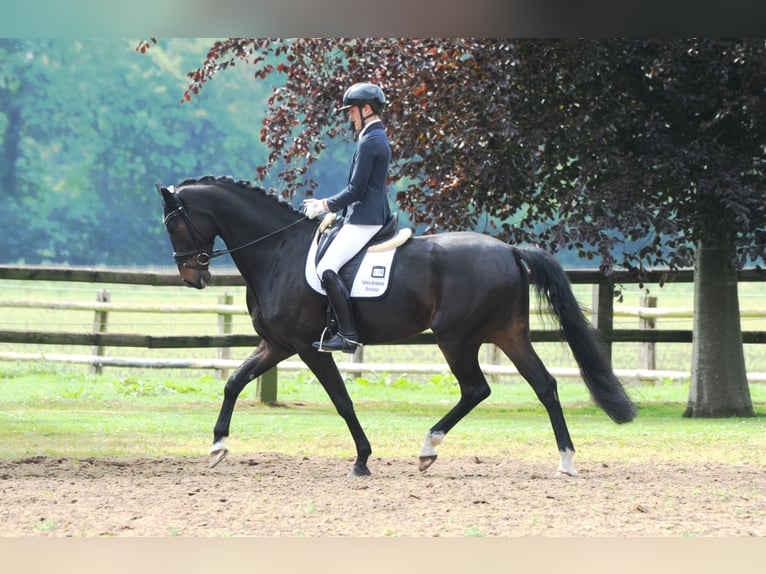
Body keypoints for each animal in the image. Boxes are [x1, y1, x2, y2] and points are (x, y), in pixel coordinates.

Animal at [156, 174, 636, 476]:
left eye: (174, 224)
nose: (191, 277)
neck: (278, 252)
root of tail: (510, 251)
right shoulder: (277, 344)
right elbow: (234, 382)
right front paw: (218, 446)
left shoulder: (308, 347)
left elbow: (342, 401)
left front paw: (362, 460)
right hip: (508, 333)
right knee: (544, 386)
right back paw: (565, 460)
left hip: (456, 338)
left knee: (477, 389)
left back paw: (428, 449)